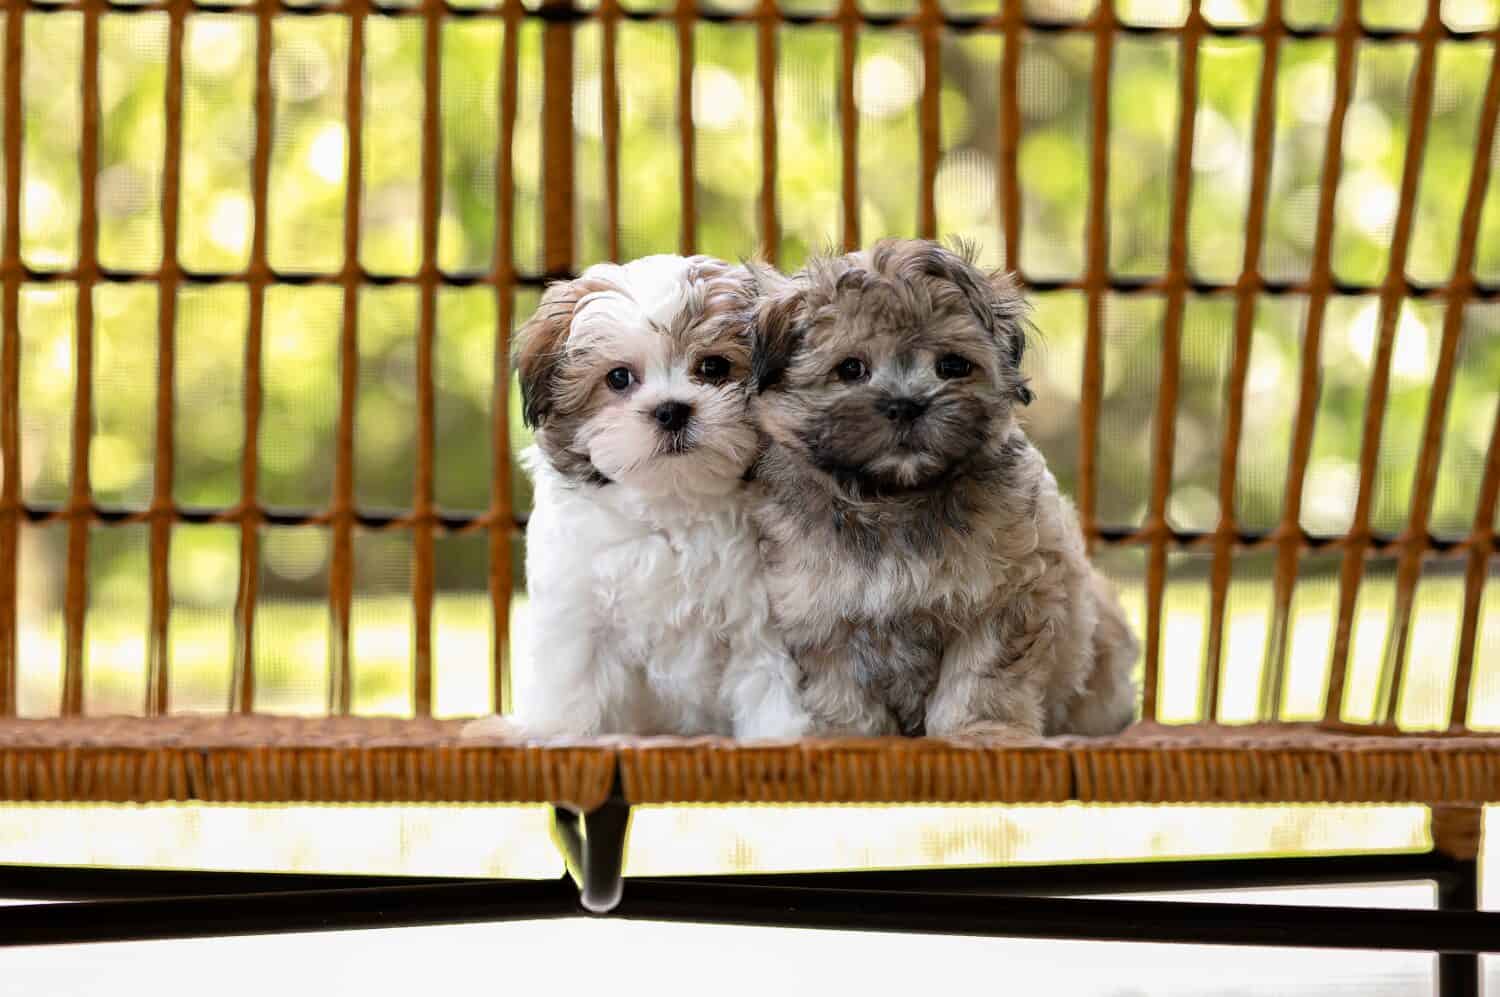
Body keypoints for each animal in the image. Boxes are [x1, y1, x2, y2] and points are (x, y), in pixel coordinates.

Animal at [462, 256, 810, 737]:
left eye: (714, 367)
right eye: (618, 377)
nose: (671, 410)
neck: (672, 504)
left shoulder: (759, 621)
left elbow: (770, 686)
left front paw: (779, 739)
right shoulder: (577, 611)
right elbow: (570, 683)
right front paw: (554, 734)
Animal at [750, 239, 1134, 737]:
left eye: (952, 365)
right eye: (850, 368)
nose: (906, 405)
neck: (896, 499)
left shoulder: (1002, 599)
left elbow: (982, 679)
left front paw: (982, 731)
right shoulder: (820, 615)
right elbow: (841, 691)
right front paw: (845, 734)